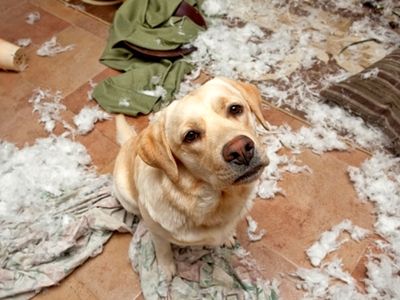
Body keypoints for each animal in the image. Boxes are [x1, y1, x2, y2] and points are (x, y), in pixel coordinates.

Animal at [112, 77, 268, 278]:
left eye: (235, 109)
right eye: (190, 136)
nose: (241, 150)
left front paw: (227, 236)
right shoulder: (157, 233)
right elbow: (163, 249)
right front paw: (166, 269)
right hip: (126, 196)